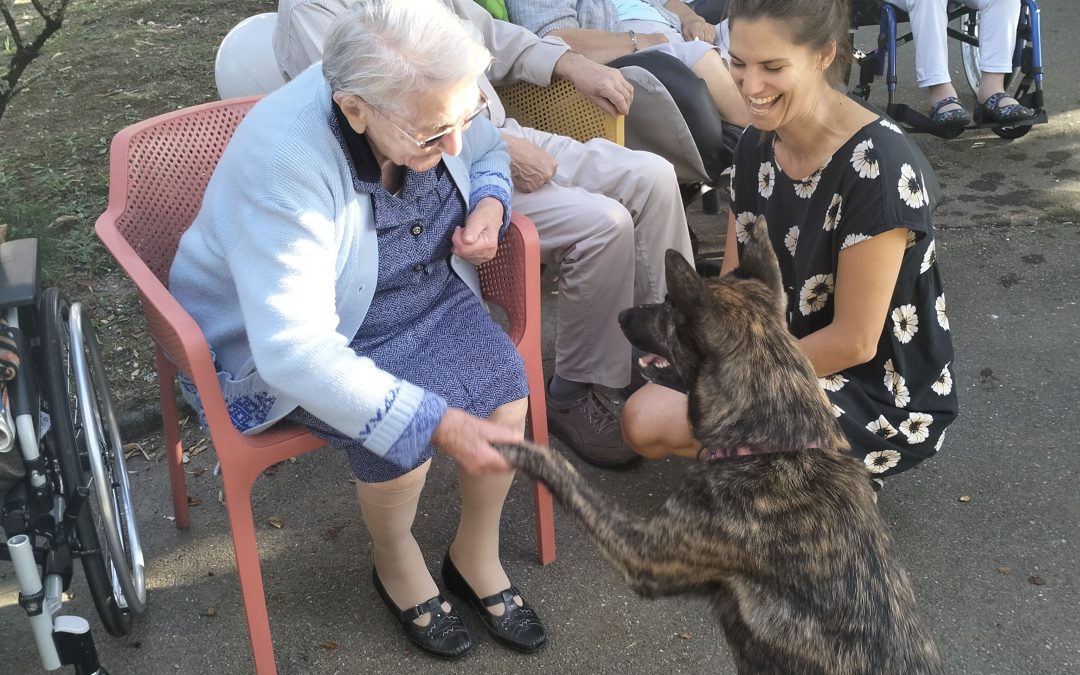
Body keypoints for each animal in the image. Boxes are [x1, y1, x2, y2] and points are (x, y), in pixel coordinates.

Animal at [498, 218, 946, 669]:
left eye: (668, 306)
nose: (622, 314)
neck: (777, 446)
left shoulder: (644, 554)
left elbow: (567, 476)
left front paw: (518, 449)